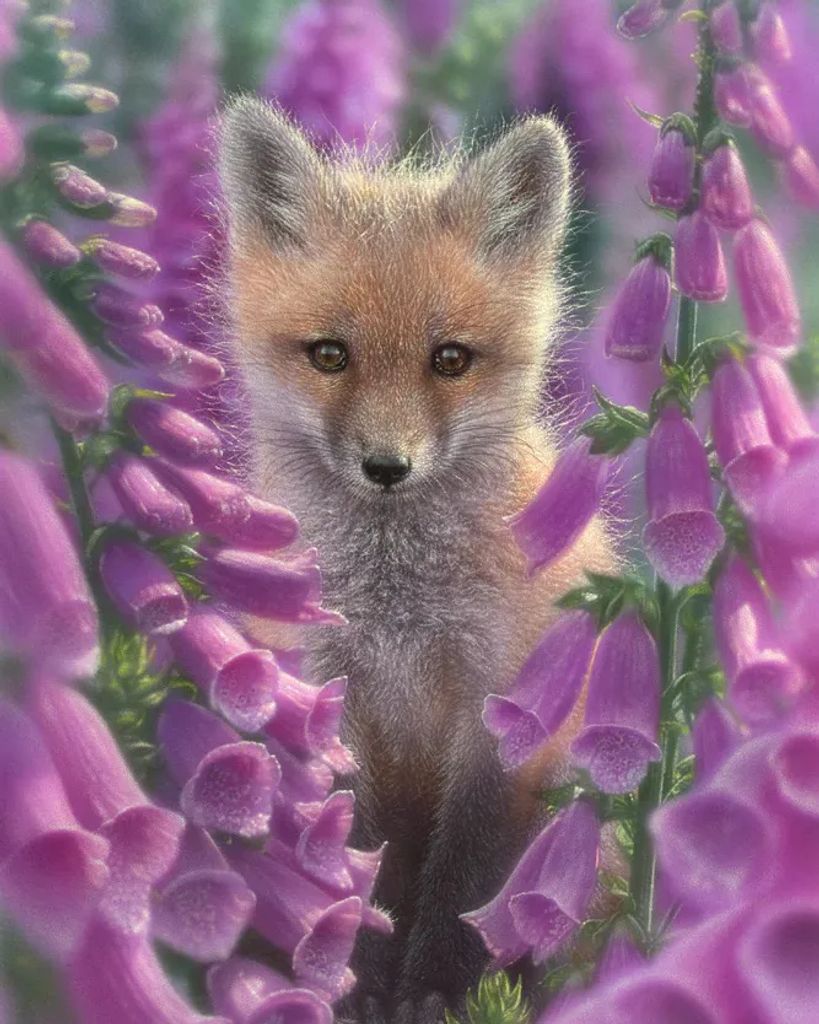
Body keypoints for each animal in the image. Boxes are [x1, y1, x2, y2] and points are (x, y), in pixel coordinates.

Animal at [217, 97, 612, 1024]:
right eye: (330, 355)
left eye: (449, 359)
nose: (387, 467)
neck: (397, 612)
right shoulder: (327, 695)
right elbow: (348, 865)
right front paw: (351, 983)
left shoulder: (500, 712)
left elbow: (465, 879)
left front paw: (437, 993)